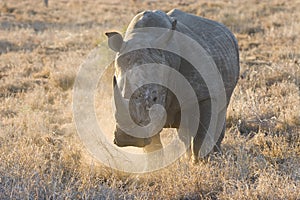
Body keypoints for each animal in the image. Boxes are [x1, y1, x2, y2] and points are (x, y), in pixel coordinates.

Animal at [105, 9, 239, 161]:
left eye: (155, 98)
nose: (128, 138)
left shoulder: (206, 95)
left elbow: (201, 138)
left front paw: (202, 163)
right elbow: (153, 147)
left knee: (221, 110)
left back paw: (216, 156)